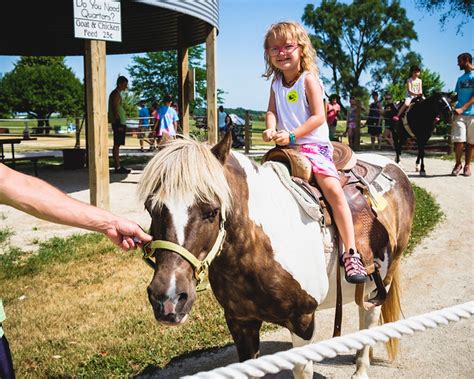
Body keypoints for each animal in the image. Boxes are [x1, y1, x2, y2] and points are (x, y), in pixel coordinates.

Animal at [138, 134, 414, 379]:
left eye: (212, 211)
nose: (168, 299)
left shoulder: (303, 321)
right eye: (150, 208)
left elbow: (302, 370)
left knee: (369, 318)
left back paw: (360, 370)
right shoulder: (240, 321)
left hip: (384, 278)